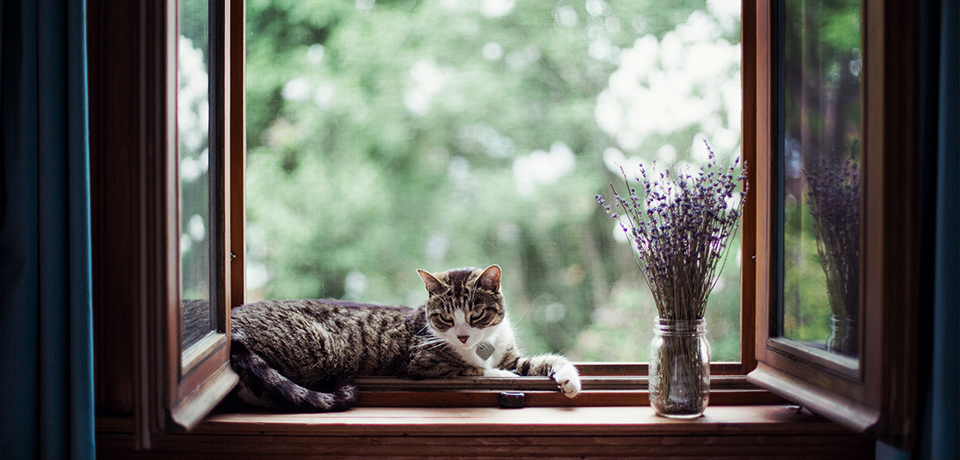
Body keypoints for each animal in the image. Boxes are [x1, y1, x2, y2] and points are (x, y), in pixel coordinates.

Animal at [229, 264, 580, 412]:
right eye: (446, 318)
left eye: (476, 314)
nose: (463, 337)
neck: (482, 346)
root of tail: (232, 322)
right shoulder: (425, 362)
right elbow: (479, 369)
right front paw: (502, 376)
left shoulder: (510, 355)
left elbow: (542, 361)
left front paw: (569, 379)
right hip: (315, 347)